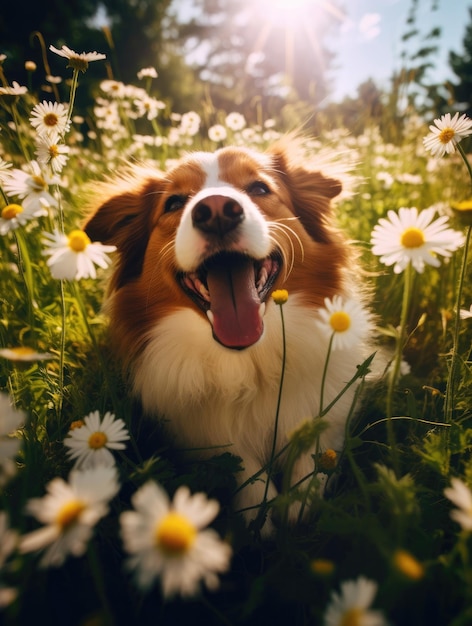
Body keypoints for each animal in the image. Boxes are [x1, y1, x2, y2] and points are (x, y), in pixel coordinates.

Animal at [83, 135, 374, 532]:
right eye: (174, 202)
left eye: (259, 188)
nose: (217, 210)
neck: (250, 359)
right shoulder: (200, 429)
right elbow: (238, 460)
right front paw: (259, 515)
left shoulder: (331, 399)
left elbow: (318, 444)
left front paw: (300, 501)